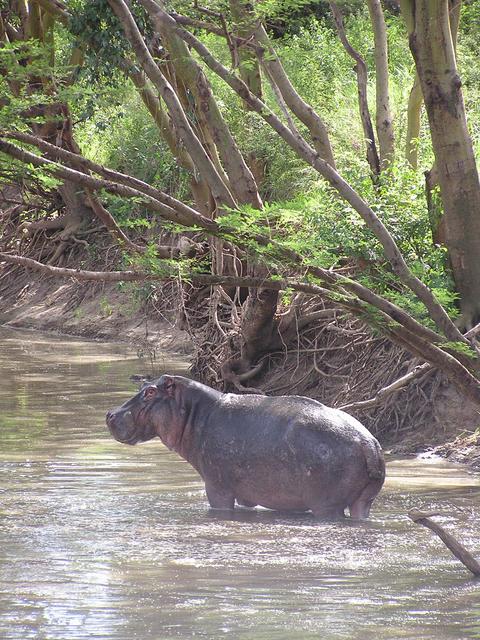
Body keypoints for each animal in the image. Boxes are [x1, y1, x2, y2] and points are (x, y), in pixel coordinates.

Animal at [107, 376, 384, 520]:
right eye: (141, 386)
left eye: (151, 392)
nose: (110, 414)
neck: (195, 413)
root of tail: (368, 443)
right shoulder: (246, 494)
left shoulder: (217, 487)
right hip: (364, 501)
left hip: (327, 505)